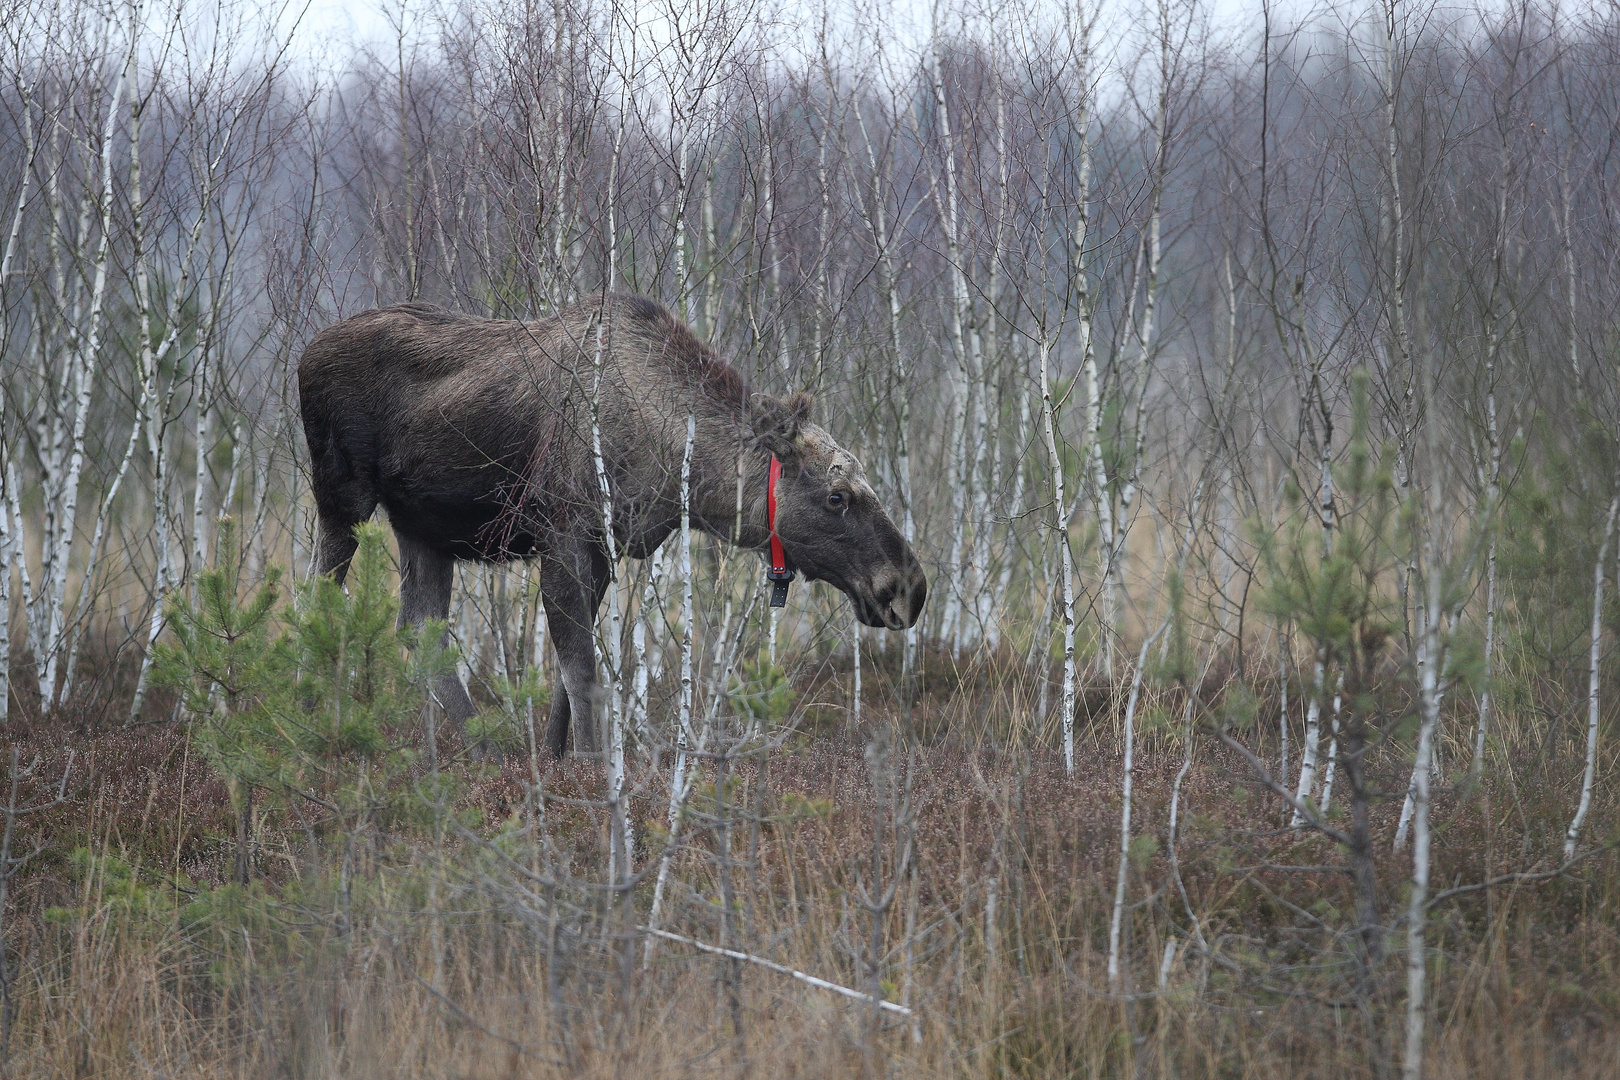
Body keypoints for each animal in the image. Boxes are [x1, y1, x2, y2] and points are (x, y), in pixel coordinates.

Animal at [294, 291, 926, 757]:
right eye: (837, 496)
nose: (909, 587)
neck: (678, 466)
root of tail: (303, 354)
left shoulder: (606, 549)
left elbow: (566, 681)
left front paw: (555, 761)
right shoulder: (564, 536)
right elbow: (583, 673)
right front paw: (594, 773)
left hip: (422, 527)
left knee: (419, 628)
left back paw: (484, 755)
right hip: (342, 499)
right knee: (314, 601)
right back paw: (301, 732)